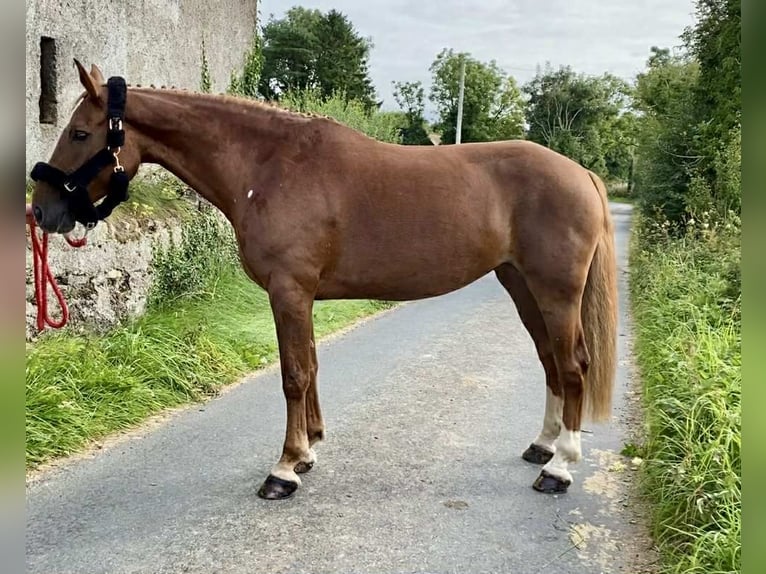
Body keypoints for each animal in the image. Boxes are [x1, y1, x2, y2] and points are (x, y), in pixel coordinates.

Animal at [30, 60, 618, 500]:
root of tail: (581, 173)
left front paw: (285, 469)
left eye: (80, 133)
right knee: (549, 362)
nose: (42, 211)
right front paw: (308, 450)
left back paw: (560, 468)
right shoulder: (302, 295)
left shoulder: (289, 290)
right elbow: (310, 366)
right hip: (520, 285)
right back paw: (542, 447)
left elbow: (293, 374)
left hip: (555, 292)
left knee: (572, 366)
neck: (268, 165)